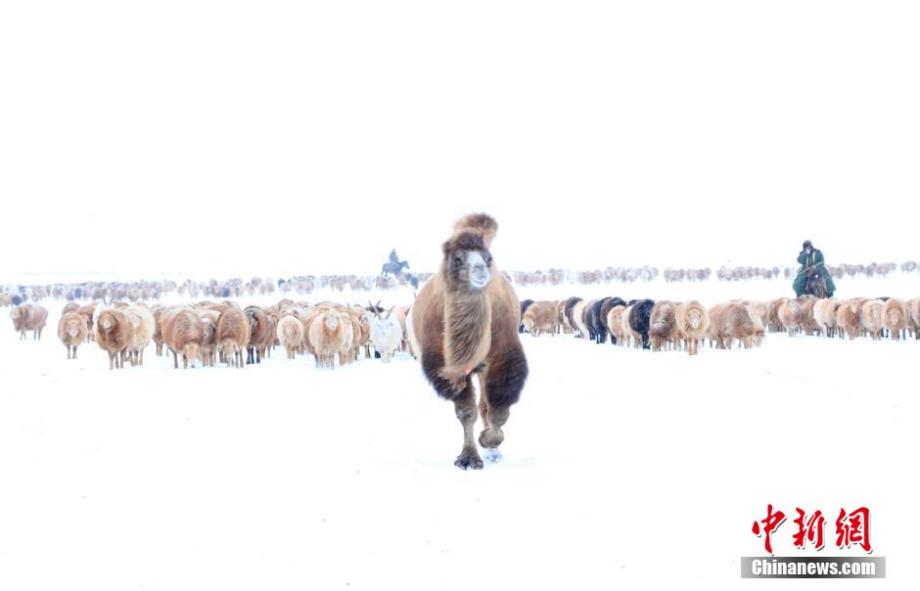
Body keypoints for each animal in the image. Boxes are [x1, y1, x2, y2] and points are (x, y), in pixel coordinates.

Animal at [408, 214, 528, 472]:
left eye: (488, 258)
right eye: (457, 259)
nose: (480, 269)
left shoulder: (503, 359)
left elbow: (498, 408)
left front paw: (489, 441)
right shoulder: (447, 369)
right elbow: (466, 412)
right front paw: (469, 458)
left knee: (486, 404)